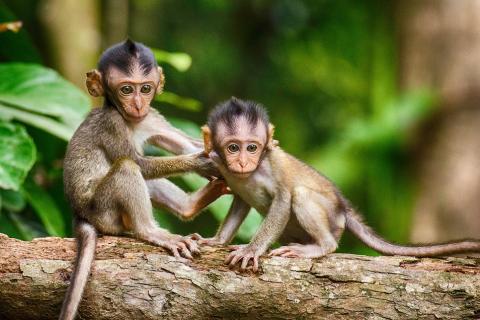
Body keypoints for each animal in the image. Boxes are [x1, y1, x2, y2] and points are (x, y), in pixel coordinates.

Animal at [197, 96, 480, 272]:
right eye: (233, 148)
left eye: (252, 148)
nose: (244, 162)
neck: (251, 173)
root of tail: (343, 209)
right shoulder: (221, 165)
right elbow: (240, 201)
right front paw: (217, 241)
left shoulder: (273, 162)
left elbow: (284, 198)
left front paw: (252, 249)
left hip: (332, 220)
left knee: (301, 195)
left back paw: (320, 246)